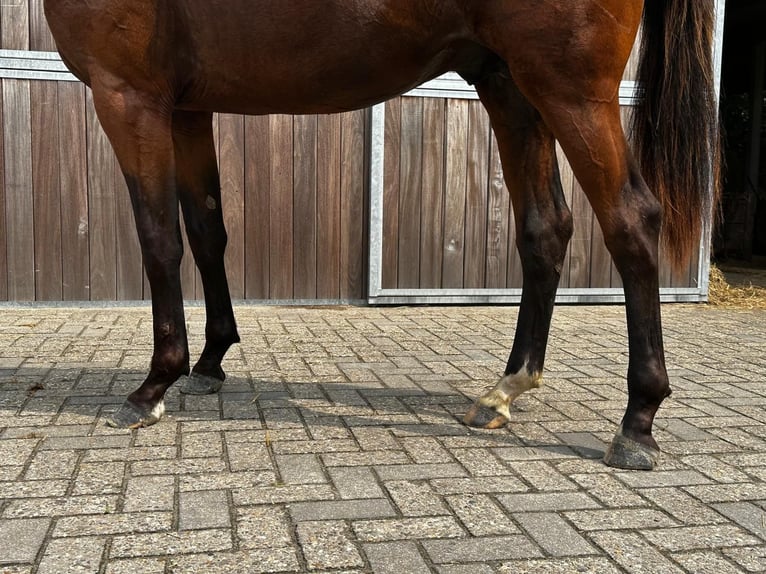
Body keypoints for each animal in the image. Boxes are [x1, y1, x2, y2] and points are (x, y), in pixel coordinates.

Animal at [46, 0, 720, 470]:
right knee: (545, 229)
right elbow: (208, 229)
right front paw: (211, 359)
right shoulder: (187, 106)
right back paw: (505, 390)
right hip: (511, 84)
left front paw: (154, 384)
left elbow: (159, 238)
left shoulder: (129, 95)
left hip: (570, 90)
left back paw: (636, 424)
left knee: (631, 221)